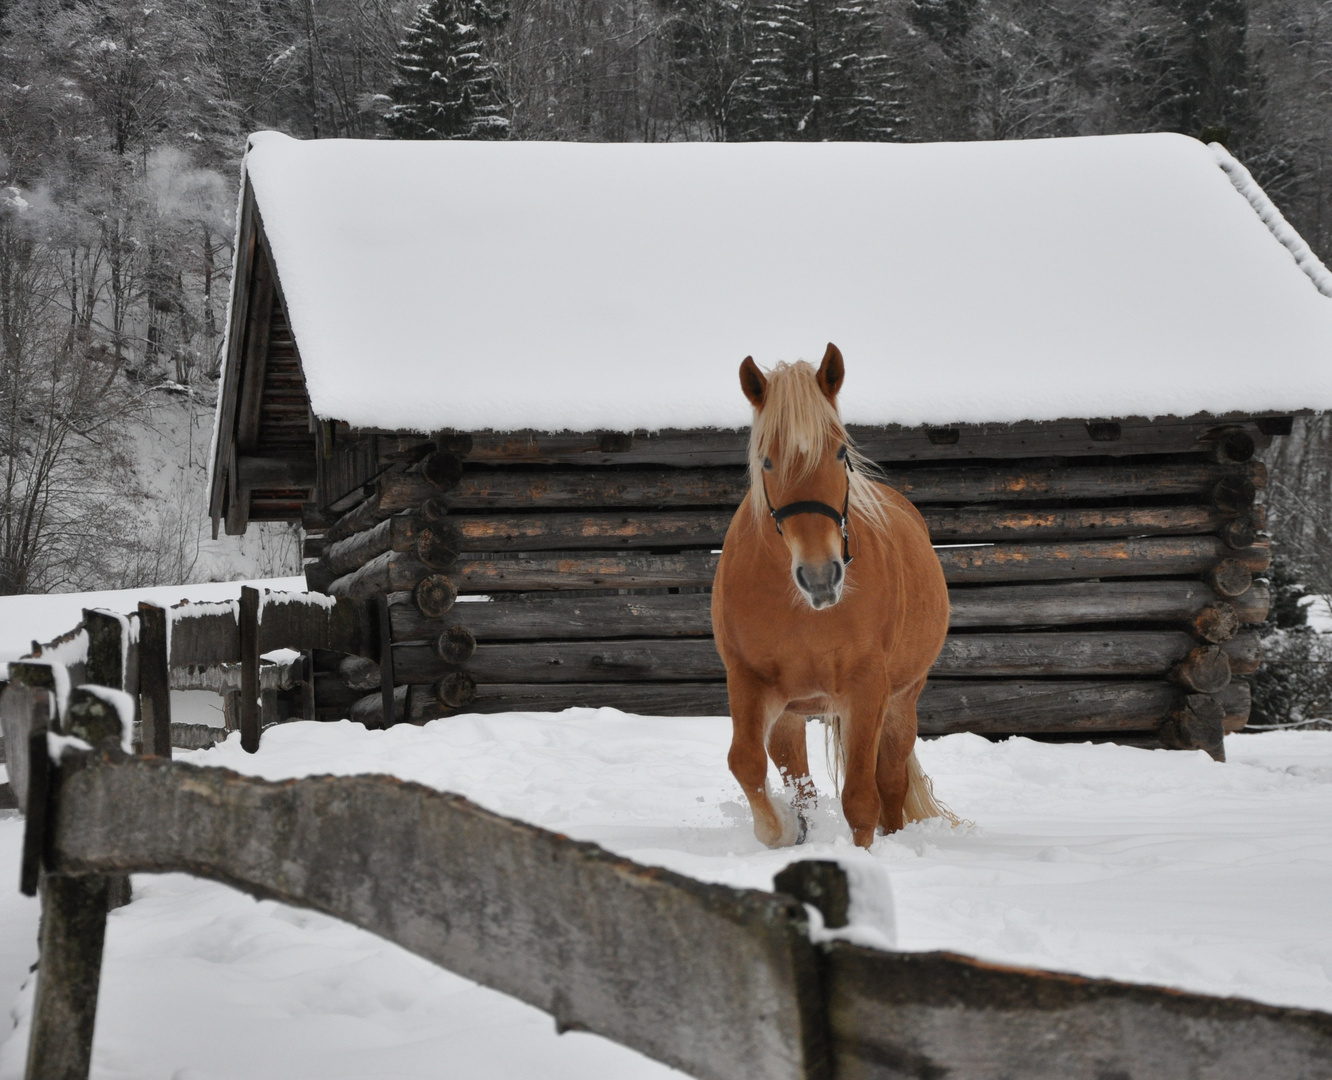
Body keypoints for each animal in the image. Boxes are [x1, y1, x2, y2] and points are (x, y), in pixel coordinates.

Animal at [713, 346, 953, 852]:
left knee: (891, 782)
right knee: (800, 782)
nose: (821, 577)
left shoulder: (867, 692)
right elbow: (745, 762)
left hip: (902, 701)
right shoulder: (750, 682)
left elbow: (862, 797)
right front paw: (781, 831)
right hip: (791, 717)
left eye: (841, 451)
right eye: (766, 461)